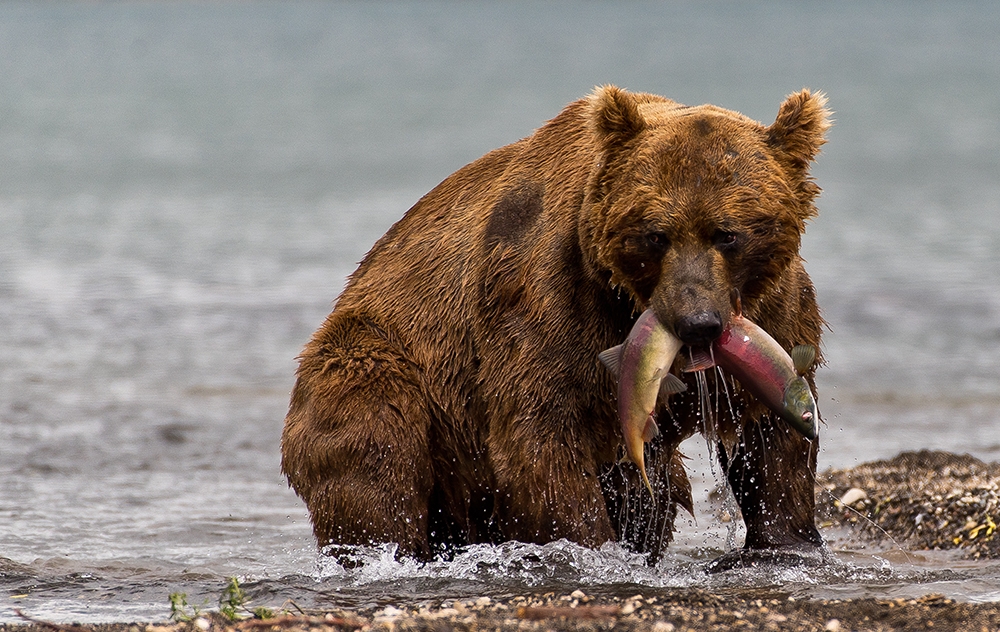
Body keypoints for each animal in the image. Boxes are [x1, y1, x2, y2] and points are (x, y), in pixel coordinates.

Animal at [281, 86, 831, 563]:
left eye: (728, 234)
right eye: (656, 234)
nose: (697, 322)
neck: (625, 303)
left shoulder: (776, 318)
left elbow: (772, 436)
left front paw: (786, 543)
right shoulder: (544, 301)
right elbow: (541, 437)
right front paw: (589, 549)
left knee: (653, 491)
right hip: (384, 361)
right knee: (375, 452)